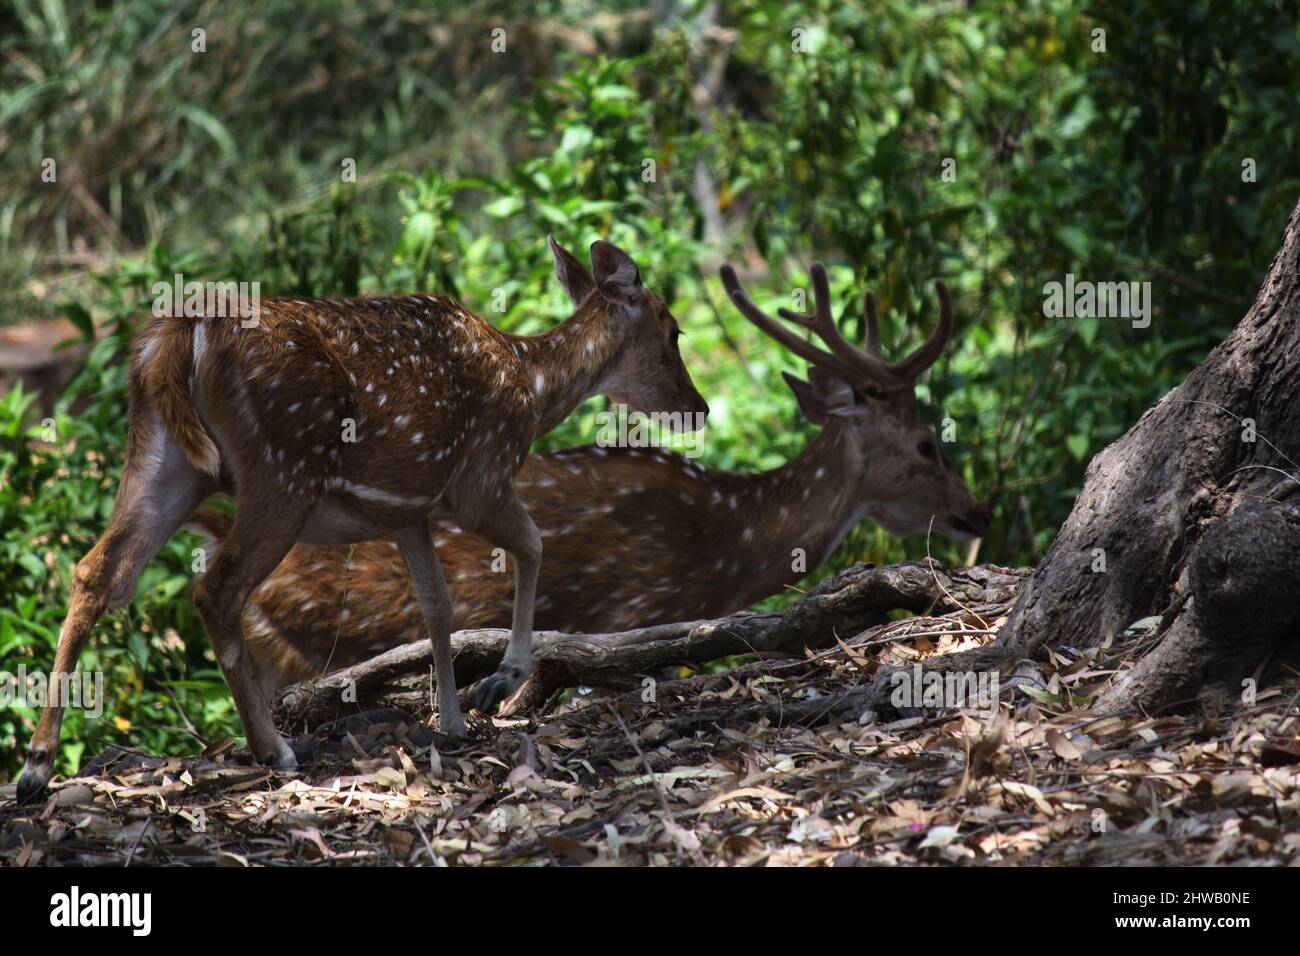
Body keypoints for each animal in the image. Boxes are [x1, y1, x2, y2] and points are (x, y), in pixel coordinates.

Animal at [15, 238, 707, 801]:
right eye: (673, 331)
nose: (699, 408)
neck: (533, 391)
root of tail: (174, 337)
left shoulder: (408, 511)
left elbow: (438, 606)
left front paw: (453, 723)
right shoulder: (480, 477)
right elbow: (534, 545)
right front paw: (500, 683)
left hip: (168, 461)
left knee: (95, 569)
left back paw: (36, 765)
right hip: (283, 467)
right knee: (216, 588)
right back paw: (275, 748)